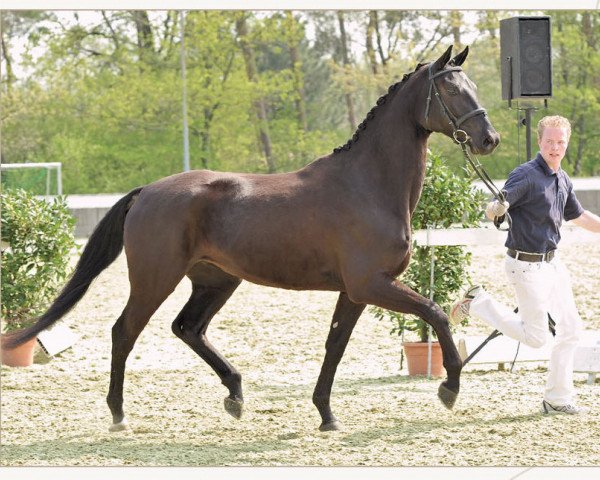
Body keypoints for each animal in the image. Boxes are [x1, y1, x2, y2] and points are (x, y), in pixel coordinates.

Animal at [4, 47, 500, 434]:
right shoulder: (372, 284)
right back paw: (118, 414)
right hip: (155, 279)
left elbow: (335, 346)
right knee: (125, 331)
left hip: (216, 280)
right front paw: (449, 387)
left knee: (188, 328)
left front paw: (326, 414)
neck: (368, 186)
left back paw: (235, 395)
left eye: (473, 84)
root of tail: (146, 191)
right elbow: (436, 314)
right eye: (452, 90)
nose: (489, 139)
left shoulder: (355, 292)